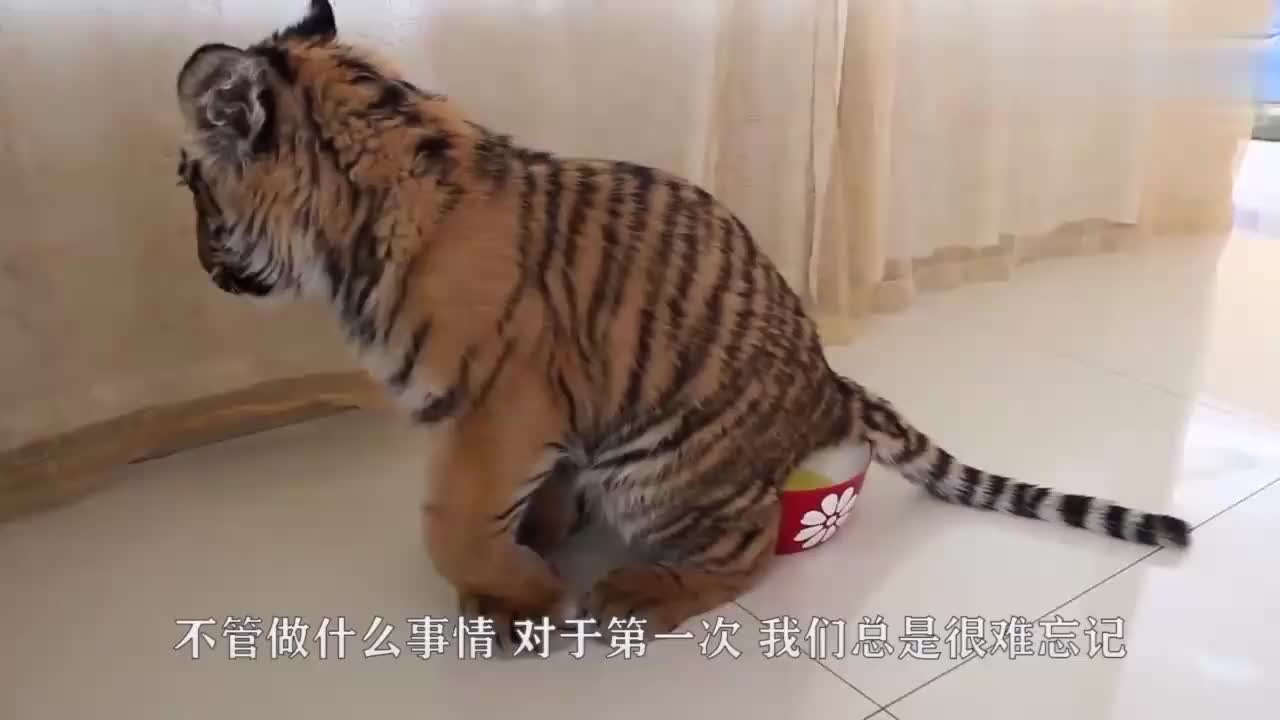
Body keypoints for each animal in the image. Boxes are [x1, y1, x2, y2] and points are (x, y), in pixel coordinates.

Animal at [174, 0, 1191, 649]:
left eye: (190, 184)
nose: (200, 266)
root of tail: (830, 386)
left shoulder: (497, 409)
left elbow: (451, 520)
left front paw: (526, 593)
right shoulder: (538, 421)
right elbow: (518, 500)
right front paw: (531, 554)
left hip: (663, 471)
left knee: (748, 548)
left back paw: (634, 595)